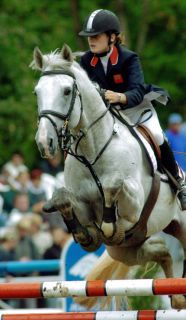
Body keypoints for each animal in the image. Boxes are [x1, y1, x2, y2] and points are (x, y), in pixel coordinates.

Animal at [31, 43, 186, 308]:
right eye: (37, 92)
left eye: (66, 91)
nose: (44, 142)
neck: (92, 151)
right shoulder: (86, 214)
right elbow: (74, 212)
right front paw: (59, 204)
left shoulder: (134, 204)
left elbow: (113, 190)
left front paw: (108, 213)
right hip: (127, 249)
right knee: (162, 255)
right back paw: (177, 295)